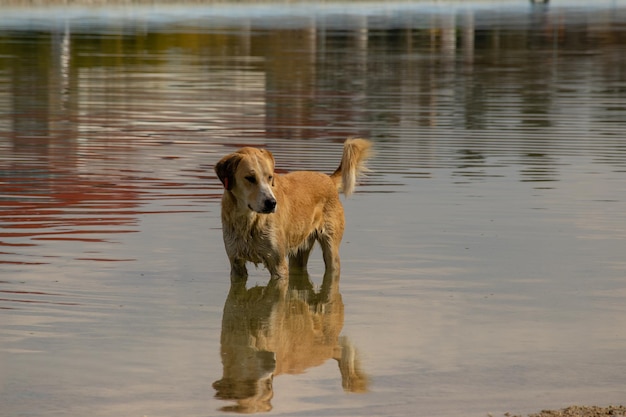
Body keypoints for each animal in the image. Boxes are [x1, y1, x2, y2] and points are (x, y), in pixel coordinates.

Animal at [214, 138, 370, 282]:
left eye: (270, 177)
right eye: (250, 178)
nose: (271, 203)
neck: (248, 221)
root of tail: (328, 178)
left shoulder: (278, 264)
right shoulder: (236, 264)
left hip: (331, 247)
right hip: (299, 252)